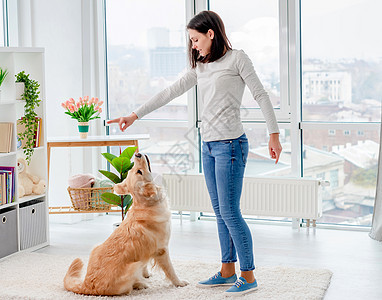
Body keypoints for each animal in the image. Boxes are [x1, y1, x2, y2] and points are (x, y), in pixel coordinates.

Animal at [63, 152, 187, 296]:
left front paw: (146, 274)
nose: (137, 154)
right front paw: (179, 283)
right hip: (133, 265)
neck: (146, 205)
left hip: (96, 247)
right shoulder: (162, 250)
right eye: (138, 171)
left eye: (135, 170)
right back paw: (141, 284)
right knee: (129, 288)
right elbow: (170, 270)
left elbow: (145, 263)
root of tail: (86, 285)